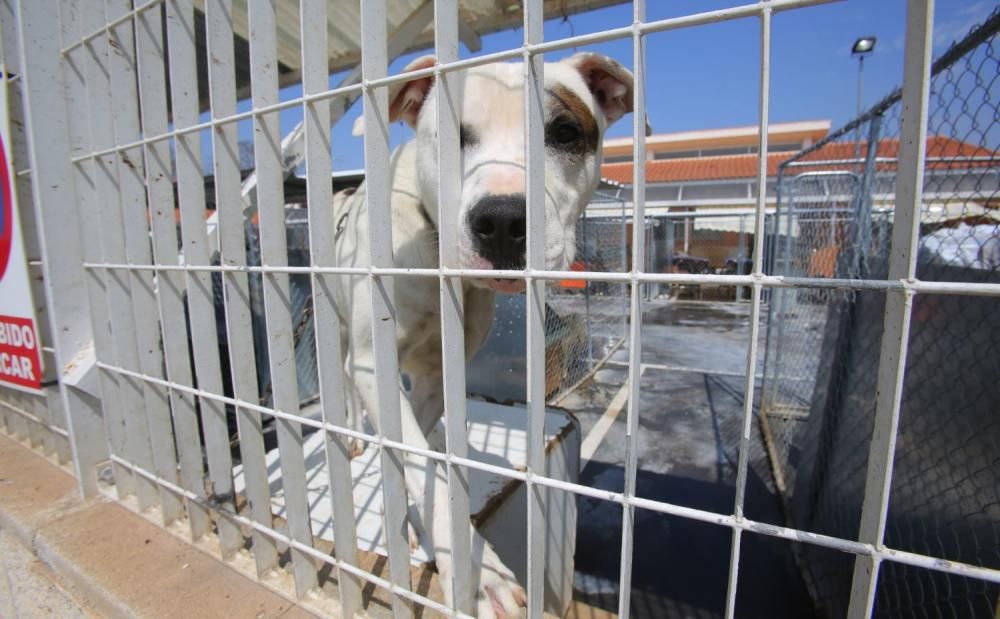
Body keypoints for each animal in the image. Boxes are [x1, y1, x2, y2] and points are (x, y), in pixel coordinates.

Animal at [332, 50, 636, 616]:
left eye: (564, 132)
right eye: (451, 135)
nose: (502, 221)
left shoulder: (435, 376)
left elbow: (423, 453)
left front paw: (422, 522)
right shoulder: (373, 360)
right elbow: (416, 456)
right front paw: (478, 570)